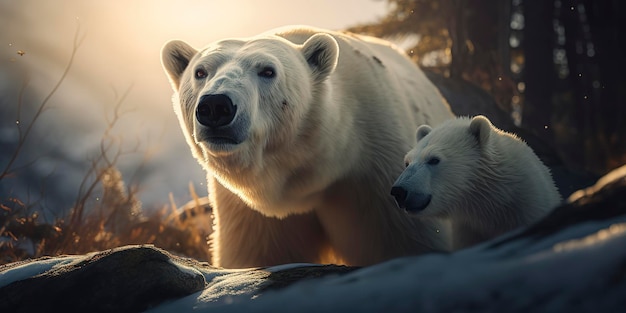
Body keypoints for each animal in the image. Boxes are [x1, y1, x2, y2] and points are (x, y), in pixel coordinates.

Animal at [161, 25, 454, 266]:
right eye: (200, 72)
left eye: (267, 71)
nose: (216, 106)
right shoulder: (247, 211)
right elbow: (258, 254)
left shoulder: (378, 172)